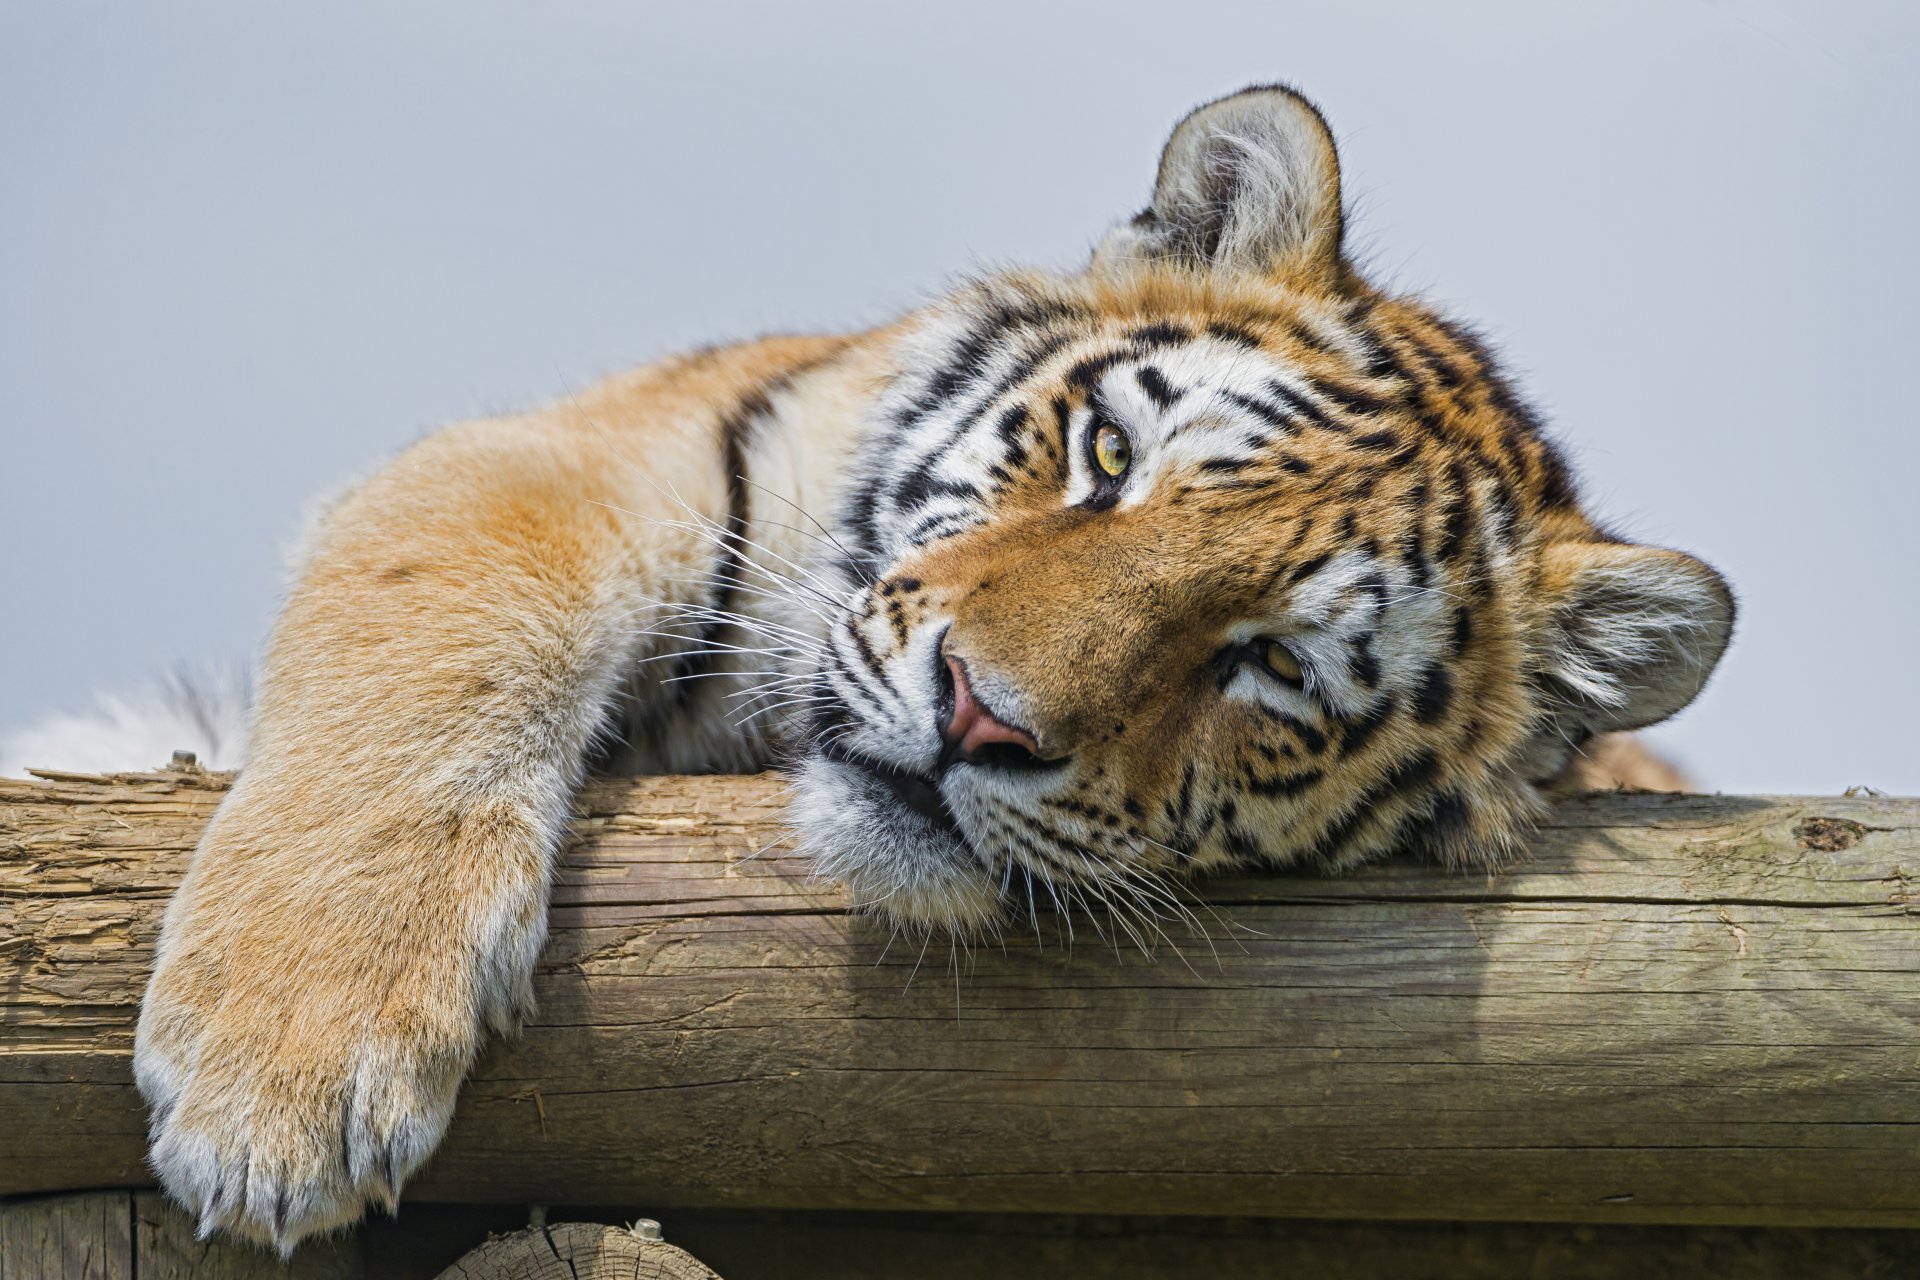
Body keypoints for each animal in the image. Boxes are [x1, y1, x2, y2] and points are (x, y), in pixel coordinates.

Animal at [128, 85, 1733, 1251]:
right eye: (1108, 456)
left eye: (1271, 664)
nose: (978, 717)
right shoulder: (570, 455)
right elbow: (443, 629)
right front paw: (283, 1086)